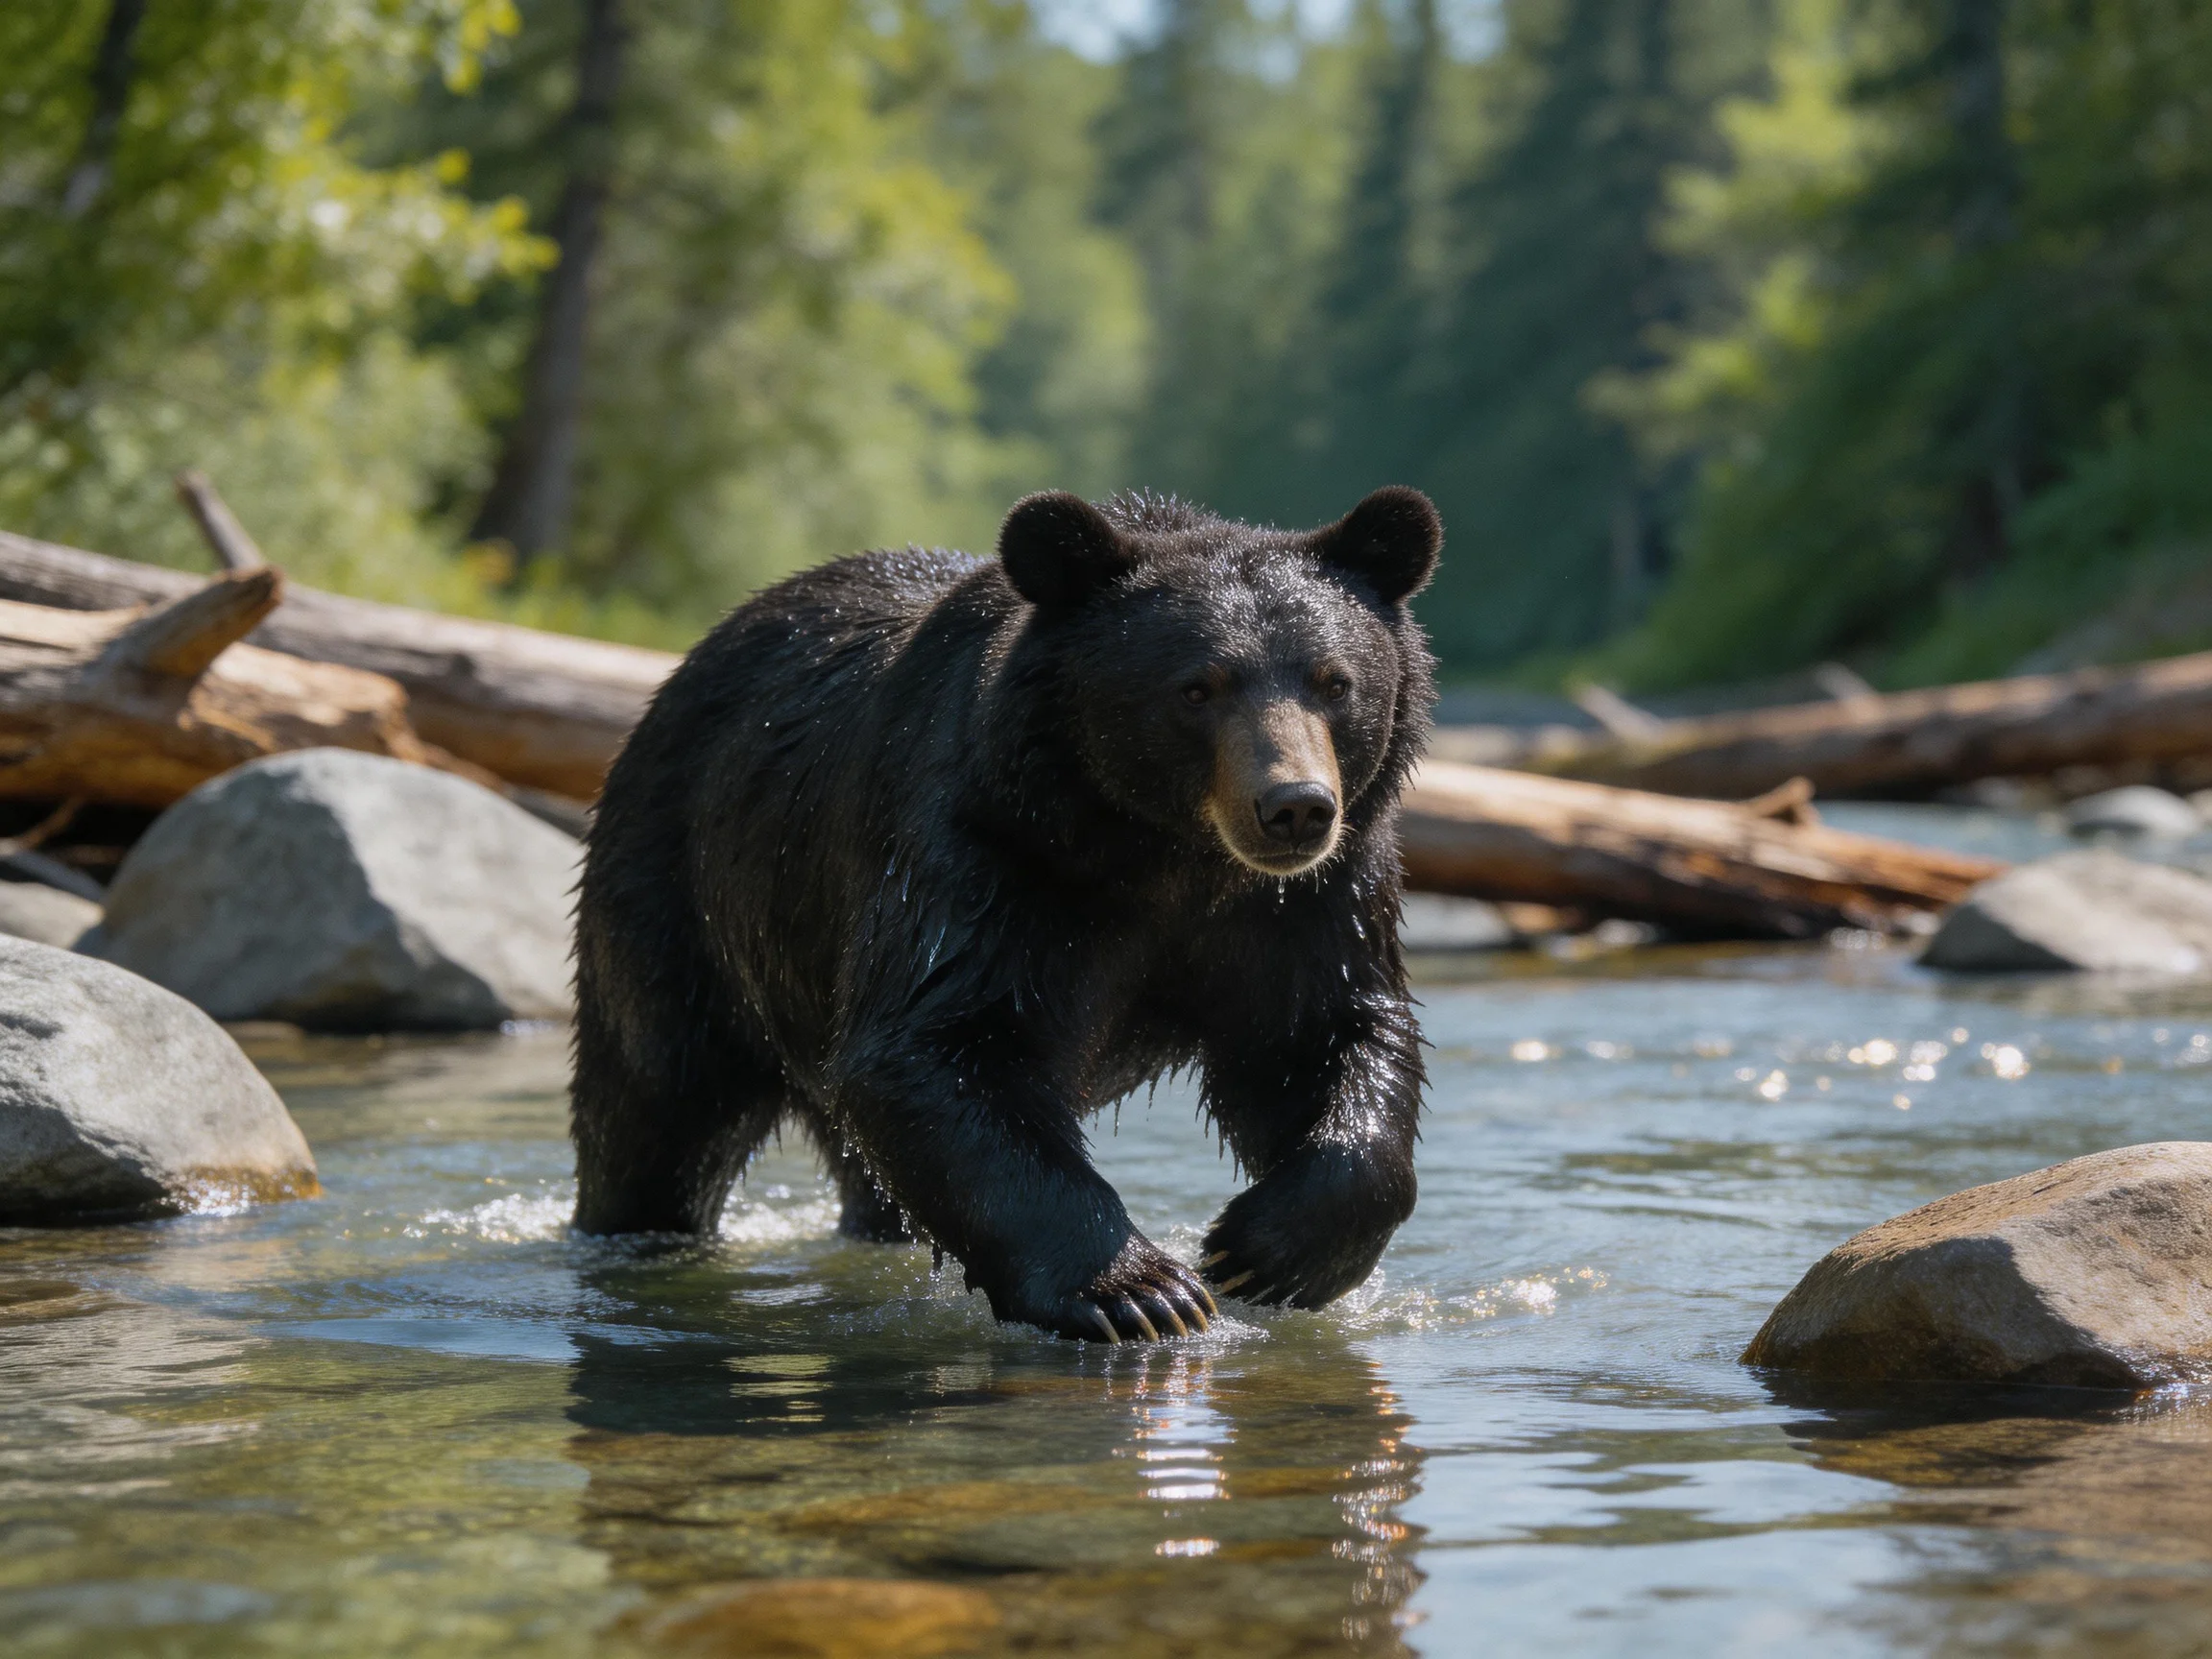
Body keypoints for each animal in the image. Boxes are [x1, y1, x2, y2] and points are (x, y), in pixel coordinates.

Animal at [570, 485, 1441, 1342]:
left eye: (1335, 682)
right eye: (1197, 687)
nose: (1294, 807)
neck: (1161, 854)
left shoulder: (1307, 902)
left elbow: (1326, 1034)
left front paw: (1266, 1250)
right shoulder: (984, 859)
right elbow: (941, 1045)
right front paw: (1143, 1291)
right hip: (686, 893)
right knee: (658, 1106)